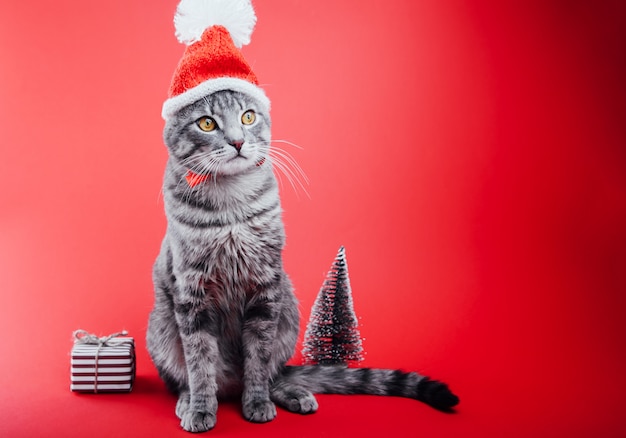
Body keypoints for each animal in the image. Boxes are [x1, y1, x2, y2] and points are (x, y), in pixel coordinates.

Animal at [146, 90, 458, 432]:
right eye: (206, 123)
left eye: (247, 117)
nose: (238, 141)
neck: (230, 206)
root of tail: (230, 385)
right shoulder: (193, 294)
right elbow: (200, 362)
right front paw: (202, 408)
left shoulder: (265, 291)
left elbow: (258, 360)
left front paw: (257, 403)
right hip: (161, 325)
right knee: (188, 377)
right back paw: (189, 400)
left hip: (288, 312)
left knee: (272, 374)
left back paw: (292, 393)